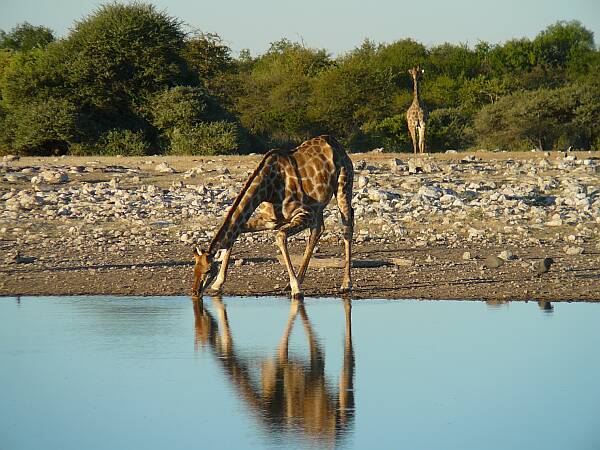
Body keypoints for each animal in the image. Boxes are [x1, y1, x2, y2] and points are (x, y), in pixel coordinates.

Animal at [192, 135, 354, 300]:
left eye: (207, 270)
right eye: (194, 269)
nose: (195, 292)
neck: (268, 189)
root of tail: (335, 144)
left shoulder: (305, 213)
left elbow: (280, 236)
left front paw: (296, 290)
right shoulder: (270, 220)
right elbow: (236, 233)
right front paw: (218, 284)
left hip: (343, 187)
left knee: (347, 224)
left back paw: (346, 284)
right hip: (318, 206)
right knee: (318, 229)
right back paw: (297, 280)